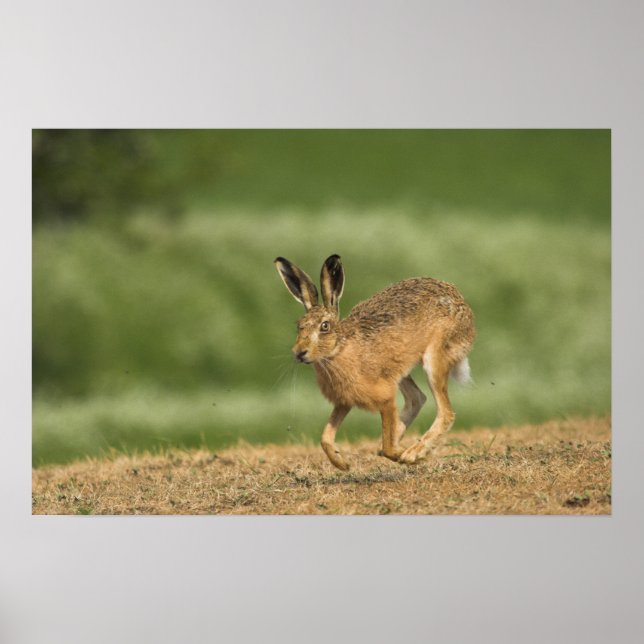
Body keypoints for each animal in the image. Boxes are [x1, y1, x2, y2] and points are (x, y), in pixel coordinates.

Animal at [274, 254, 475, 471]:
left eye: (324, 327)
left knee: (446, 412)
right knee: (417, 398)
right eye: (299, 326)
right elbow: (325, 437)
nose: (299, 353)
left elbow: (388, 446)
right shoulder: (344, 402)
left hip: (434, 357)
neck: (340, 348)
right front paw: (342, 464)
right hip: (400, 369)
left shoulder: (386, 398)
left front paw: (403, 455)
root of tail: (462, 303)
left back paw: (413, 452)